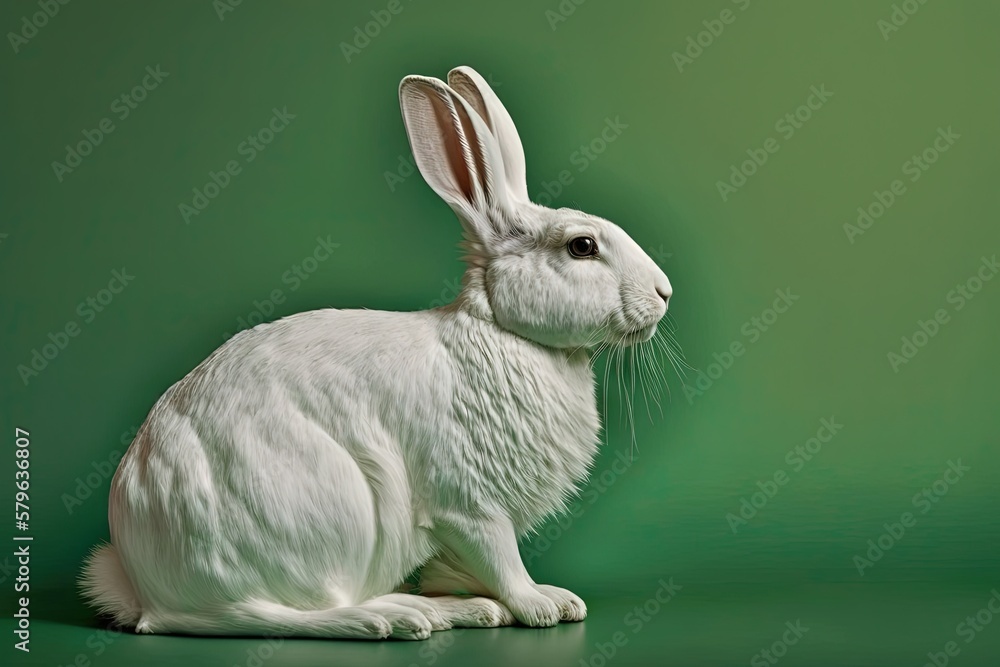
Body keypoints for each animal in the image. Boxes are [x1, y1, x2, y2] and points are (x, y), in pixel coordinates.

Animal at [80, 66, 672, 640]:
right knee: (265, 616)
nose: (665, 293)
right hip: (329, 511)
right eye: (582, 246)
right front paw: (541, 606)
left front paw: (529, 601)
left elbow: (468, 567)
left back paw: (453, 610)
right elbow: (502, 561)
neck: (505, 333)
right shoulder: (470, 505)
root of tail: (146, 586)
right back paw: (395, 617)